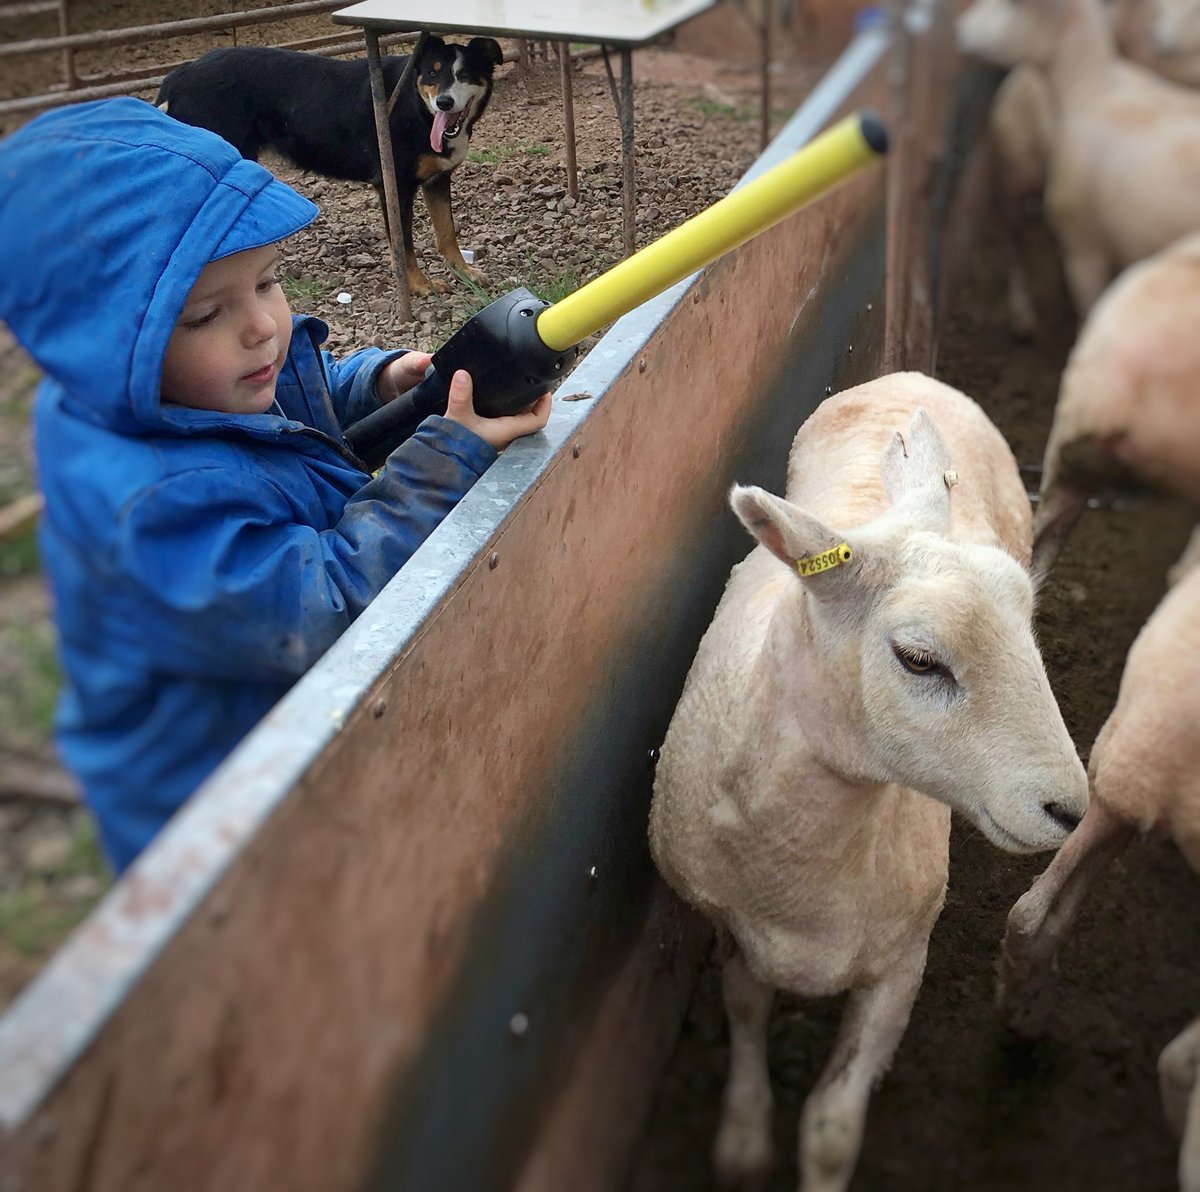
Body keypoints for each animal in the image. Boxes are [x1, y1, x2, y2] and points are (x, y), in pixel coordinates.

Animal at [648, 371, 1088, 1192]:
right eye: (919, 659)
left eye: (1029, 620)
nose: (1072, 810)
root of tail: (912, 377)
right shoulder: (731, 928)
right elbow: (745, 1011)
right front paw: (744, 1138)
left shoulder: (902, 964)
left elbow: (829, 1129)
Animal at [958, 0, 1200, 320]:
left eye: (1014, 4)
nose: (960, 29)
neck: (1089, 88)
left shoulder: (1083, 251)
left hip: (1015, 168)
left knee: (1015, 235)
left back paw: (1021, 310)